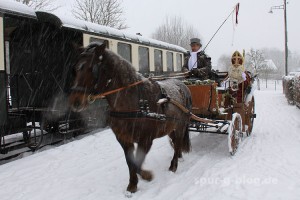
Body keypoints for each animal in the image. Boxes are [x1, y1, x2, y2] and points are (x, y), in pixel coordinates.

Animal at [69, 42, 191, 194]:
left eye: (92, 68)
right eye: (75, 69)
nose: (75, 101)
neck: (133, 102)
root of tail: (183, 85)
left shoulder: (146, 140)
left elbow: (138, 163)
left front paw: (147, 175)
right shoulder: (124, 139)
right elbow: (130, 162)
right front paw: (132, 185)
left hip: (180, 126)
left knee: (178, 142)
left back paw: (173, 165)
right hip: (171, 127)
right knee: (176, 143)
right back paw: (179, 157)